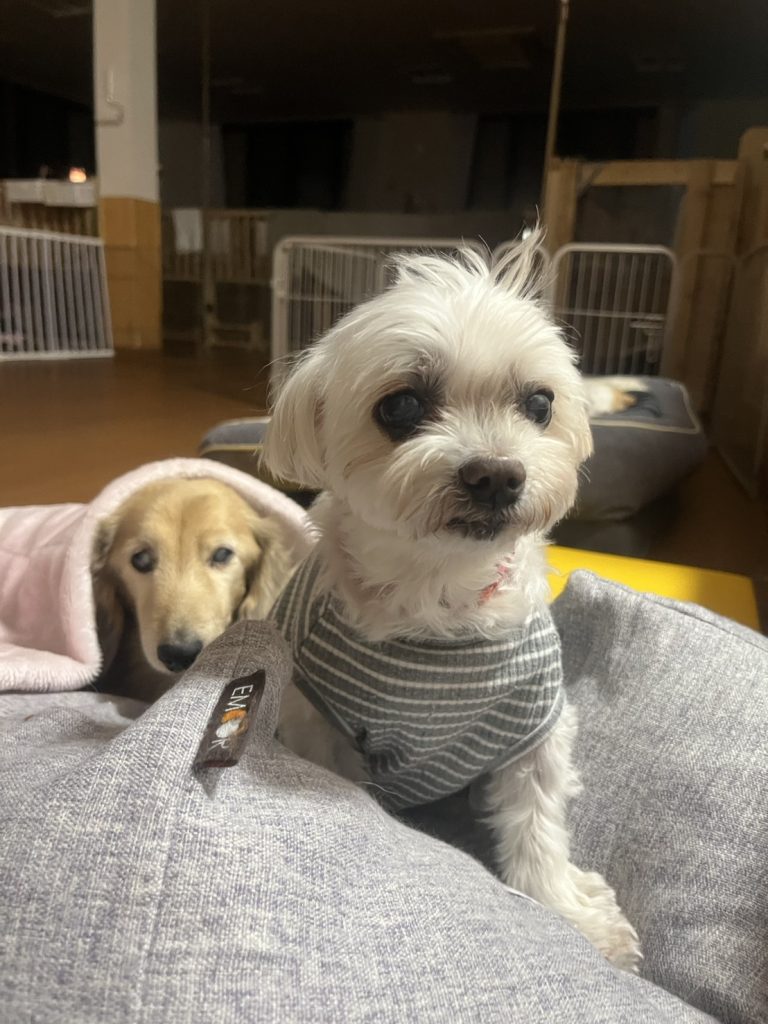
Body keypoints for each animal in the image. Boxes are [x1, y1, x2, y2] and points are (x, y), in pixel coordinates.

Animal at [261, 238, 642, 971]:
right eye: (401, 406)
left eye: (540, 403)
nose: (495, 475)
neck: (441, 596)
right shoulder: (322, 725)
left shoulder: (535, 727)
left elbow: (537, 827)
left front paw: (573, 917)